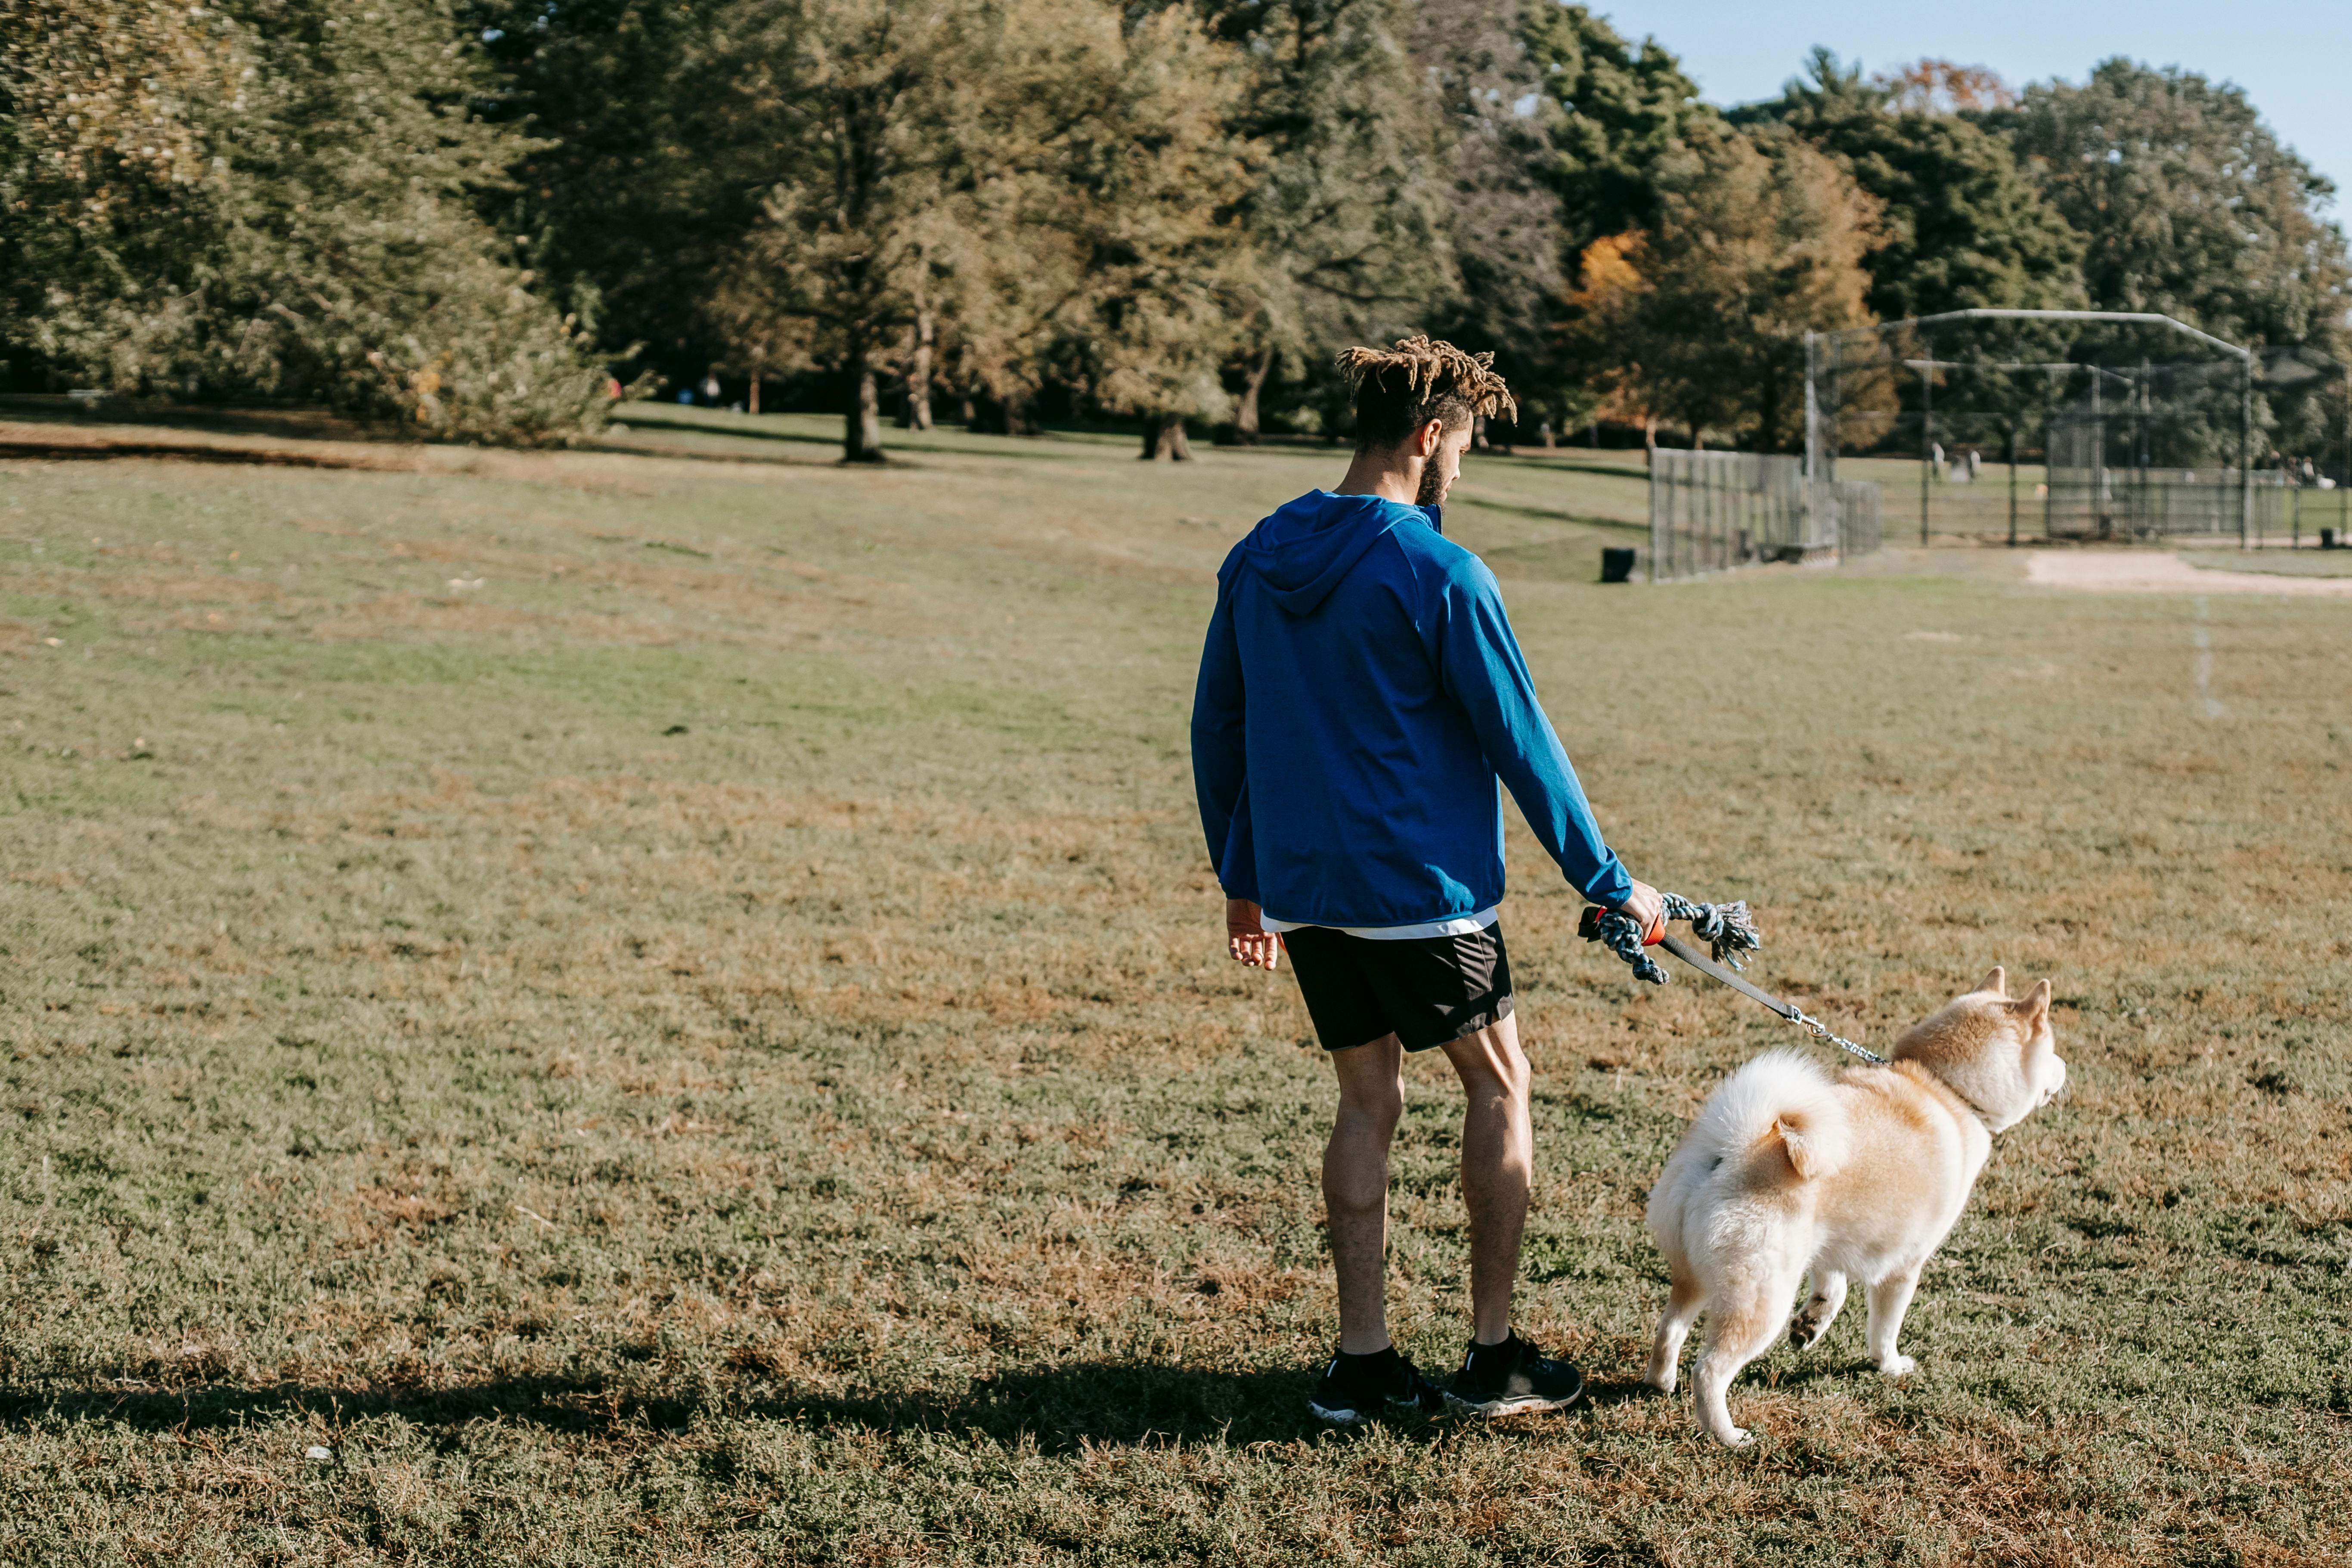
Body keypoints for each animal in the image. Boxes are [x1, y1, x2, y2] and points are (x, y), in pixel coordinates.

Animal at [1637, 968, 2060, 1448]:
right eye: (2052, 1049)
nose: (2066, 1069)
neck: (1946, 1088)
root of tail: (1733, 1147)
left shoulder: (1830, 1240)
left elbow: (1832, 1287)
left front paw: (1812, 1323)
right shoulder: (1903, 1266)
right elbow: (1885, 1328)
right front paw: (1890, 1366)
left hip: (1693, 1276)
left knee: (1669, 1330)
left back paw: (1660, 1384)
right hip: (1762, 1299)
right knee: (1709, 1370)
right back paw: (1727, 1435)